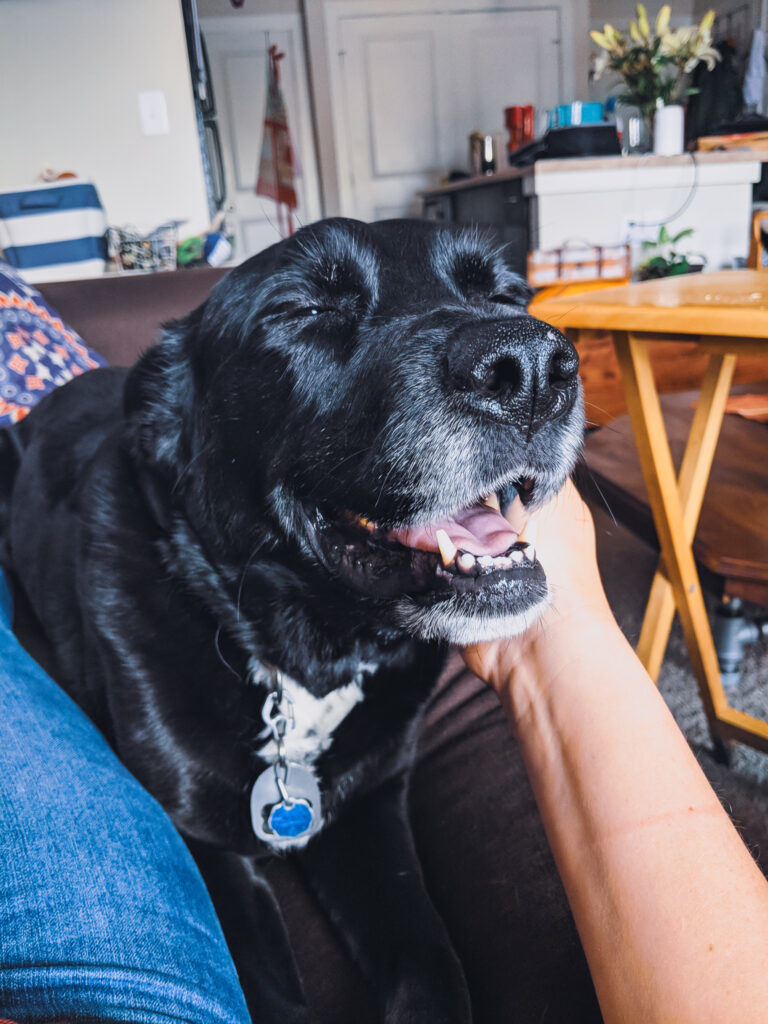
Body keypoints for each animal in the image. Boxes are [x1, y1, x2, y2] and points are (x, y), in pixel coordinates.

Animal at [0, 220, 581, 1019]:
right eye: (303, 309)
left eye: (504, 294)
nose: (531, 368)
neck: (307, 653)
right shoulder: (204, 846)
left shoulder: (370, 812)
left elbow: (434, 966)